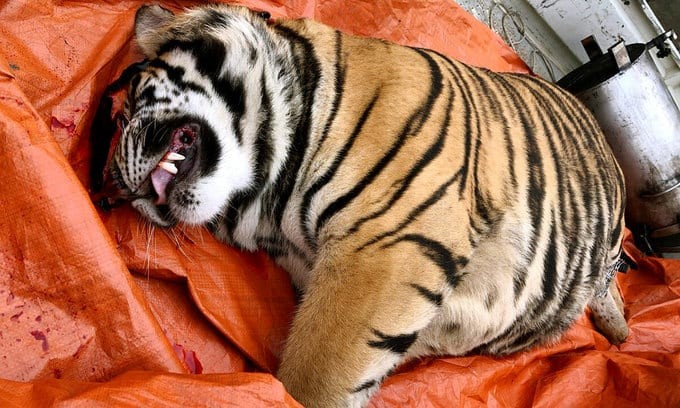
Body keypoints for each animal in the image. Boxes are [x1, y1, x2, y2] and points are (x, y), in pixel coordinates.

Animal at [91, 4, 630, 407]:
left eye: (125, 106)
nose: (108, 189)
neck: (268, 201)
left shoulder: (387, 246)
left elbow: (318, 375)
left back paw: (620, 328)